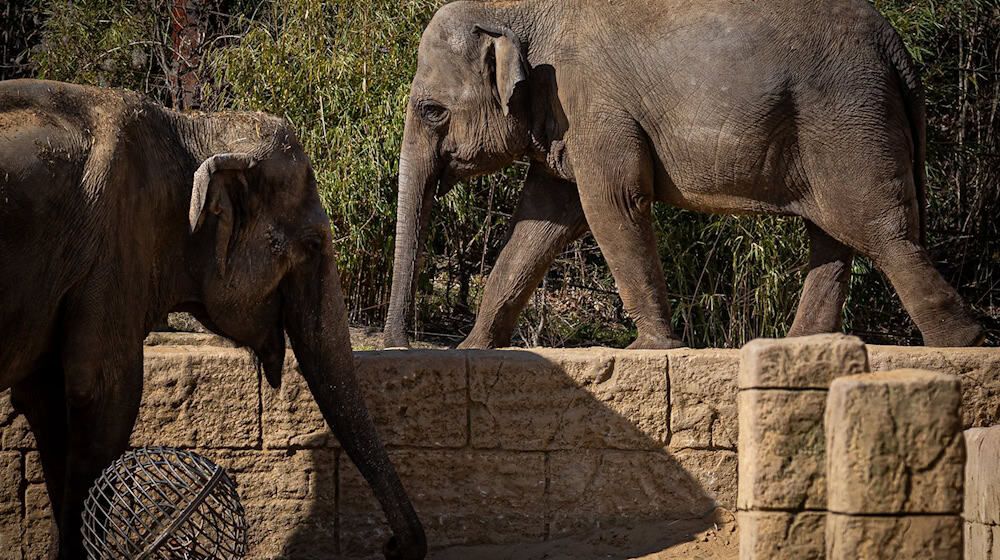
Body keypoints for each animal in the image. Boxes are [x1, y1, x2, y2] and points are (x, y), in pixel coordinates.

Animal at [0, 80, 426, 560]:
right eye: (314, 245)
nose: (391, 546)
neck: (189, 127)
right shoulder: (114, 247)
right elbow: (104, 397)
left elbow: (46, 400)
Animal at [382, 0, 984, 350]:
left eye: (431, 111)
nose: (399, 348)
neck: (520, 10)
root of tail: (897, 47)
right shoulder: (563, 115)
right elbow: (541, 223)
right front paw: (472, 352)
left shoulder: (591, 102)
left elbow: (613, 202)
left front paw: (650, 351)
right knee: (834, 235)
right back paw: (793, 349)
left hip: (848, 122)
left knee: (878, 230)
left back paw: (963, 344)